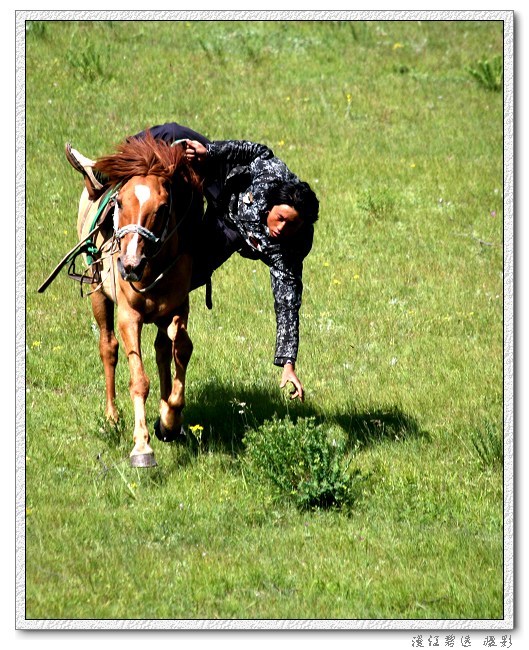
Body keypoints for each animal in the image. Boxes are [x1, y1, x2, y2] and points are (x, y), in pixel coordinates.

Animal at [76, 132, 204, 466]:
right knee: (108, 348)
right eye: (119, 202)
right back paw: (111, 418)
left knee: (162, 350)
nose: (130, 265)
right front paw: (142, 447)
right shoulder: (128, 318)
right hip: (99, 297)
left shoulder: (177, 308)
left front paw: (169, 419)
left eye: (162, 207)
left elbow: (181, 348)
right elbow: (138, 380)